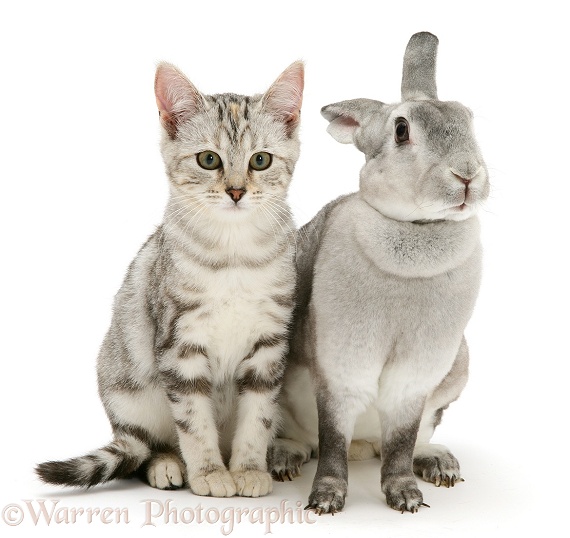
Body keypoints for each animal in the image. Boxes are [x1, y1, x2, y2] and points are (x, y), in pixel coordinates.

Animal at [36, 60, 304, 496]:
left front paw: (248, 468)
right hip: (127, 389)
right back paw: (166, 464)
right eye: (208, 160)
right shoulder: (180, 342)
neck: (234, 254)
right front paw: (210, 472)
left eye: (260, 160)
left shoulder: (269, 344)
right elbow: (193, 421)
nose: (235, 191)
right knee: (143, 446)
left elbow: (257, 416)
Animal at [270, 32, 488, 510]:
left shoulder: (416, 379)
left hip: (457, 366)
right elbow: (332, 437)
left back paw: (438, 463)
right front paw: (327, 498)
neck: (417, 228)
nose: (467, 175)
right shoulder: (340, 366)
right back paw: (284, 458)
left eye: (468, 118)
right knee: (307, 438)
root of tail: (364, 446)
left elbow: (403, 439)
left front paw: (405, 495)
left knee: (408, 439)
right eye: (401, 130)